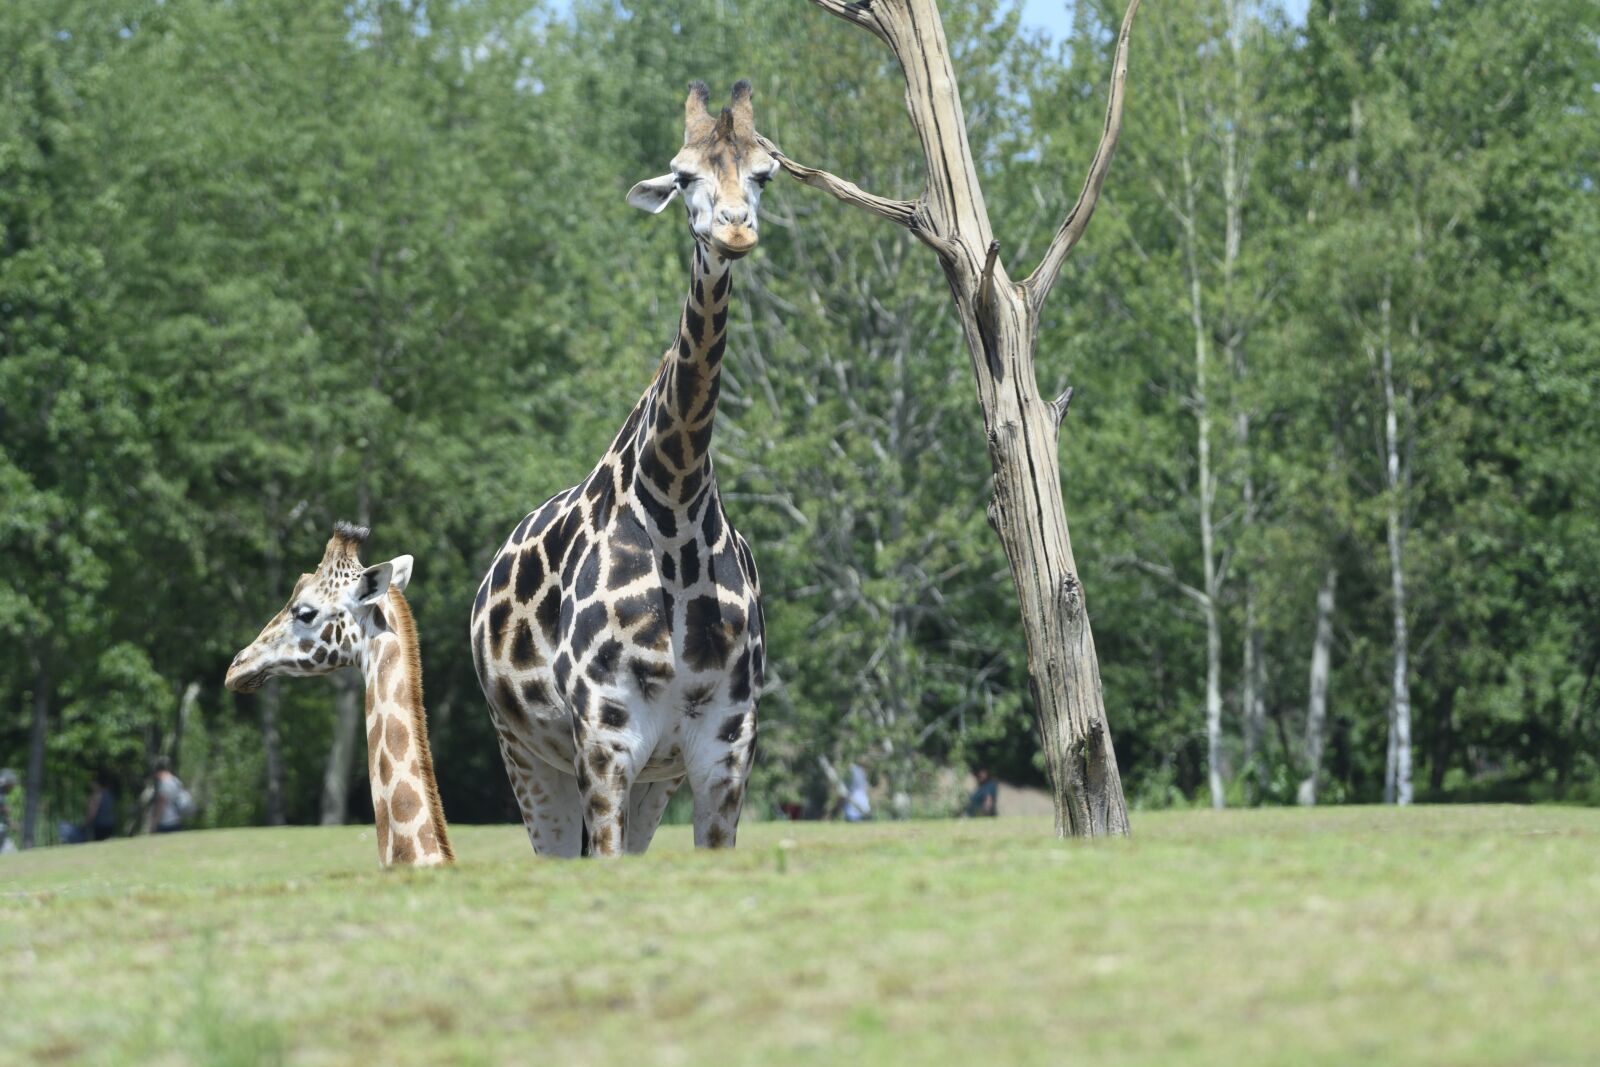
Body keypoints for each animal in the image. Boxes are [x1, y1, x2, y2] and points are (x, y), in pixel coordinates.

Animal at [470, 81, 777, 857]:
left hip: (653, 781)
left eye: (764, 173)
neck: (676, 503)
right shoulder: (605, 741)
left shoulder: (724, 750)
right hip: (527, 757)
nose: (733, 232)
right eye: (683, 176)